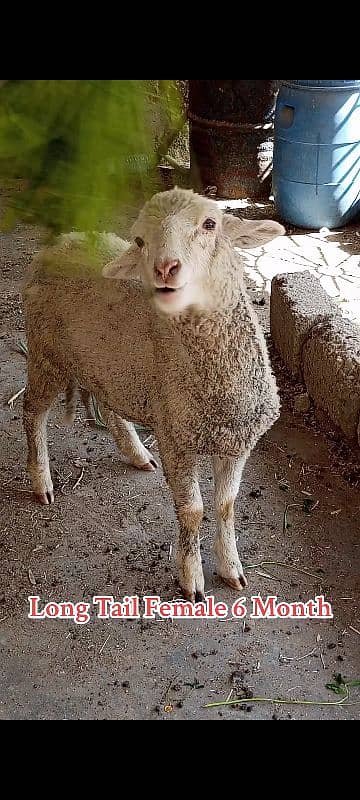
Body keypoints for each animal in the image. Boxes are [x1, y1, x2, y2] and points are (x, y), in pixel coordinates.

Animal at [22, 188, 284, 600]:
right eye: (140, 240)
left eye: (210, 224)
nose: (165, 269)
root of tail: (58, 243)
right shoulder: (176, 437)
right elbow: (193, 510)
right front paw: (191, 579)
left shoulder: (238, 442)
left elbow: (226, 505)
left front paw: (231, 568)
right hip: (46, 353)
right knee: (32, 412)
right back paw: (42, 481)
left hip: (109, 366)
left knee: (110, 405)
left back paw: (136, 452)